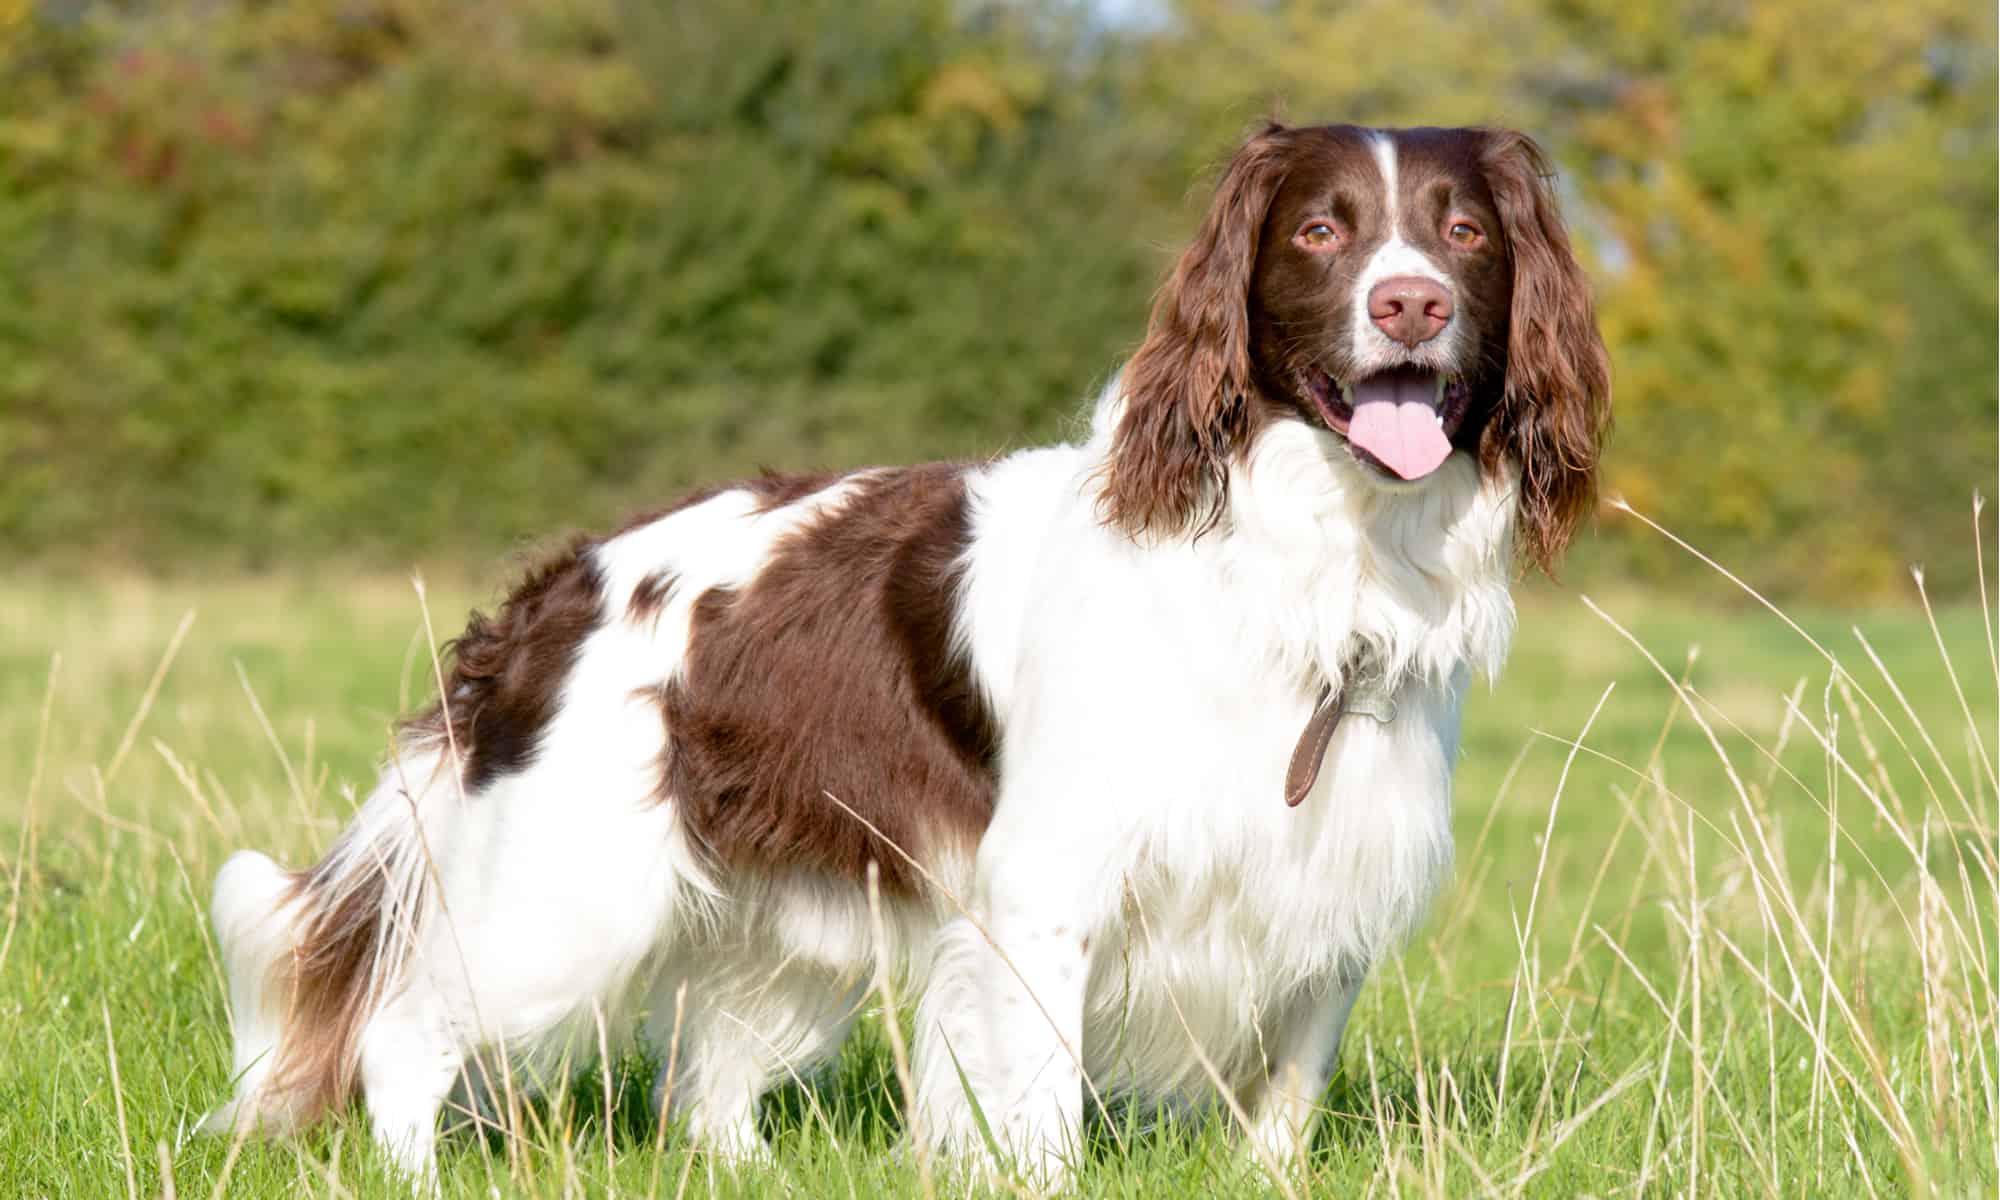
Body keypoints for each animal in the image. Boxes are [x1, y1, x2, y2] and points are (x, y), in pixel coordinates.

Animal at [207, 122, 1608, 1184]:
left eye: (1465, 235)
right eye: (1318, 231)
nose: (1409, 302)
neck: (1309, 566)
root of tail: (552, 592)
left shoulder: (1329, 901)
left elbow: (1284, 1100)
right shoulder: (1046, 893)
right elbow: (1038, 1113)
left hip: (772, 914)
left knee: (709, 1088)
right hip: (563, 899)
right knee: (403, 1035)